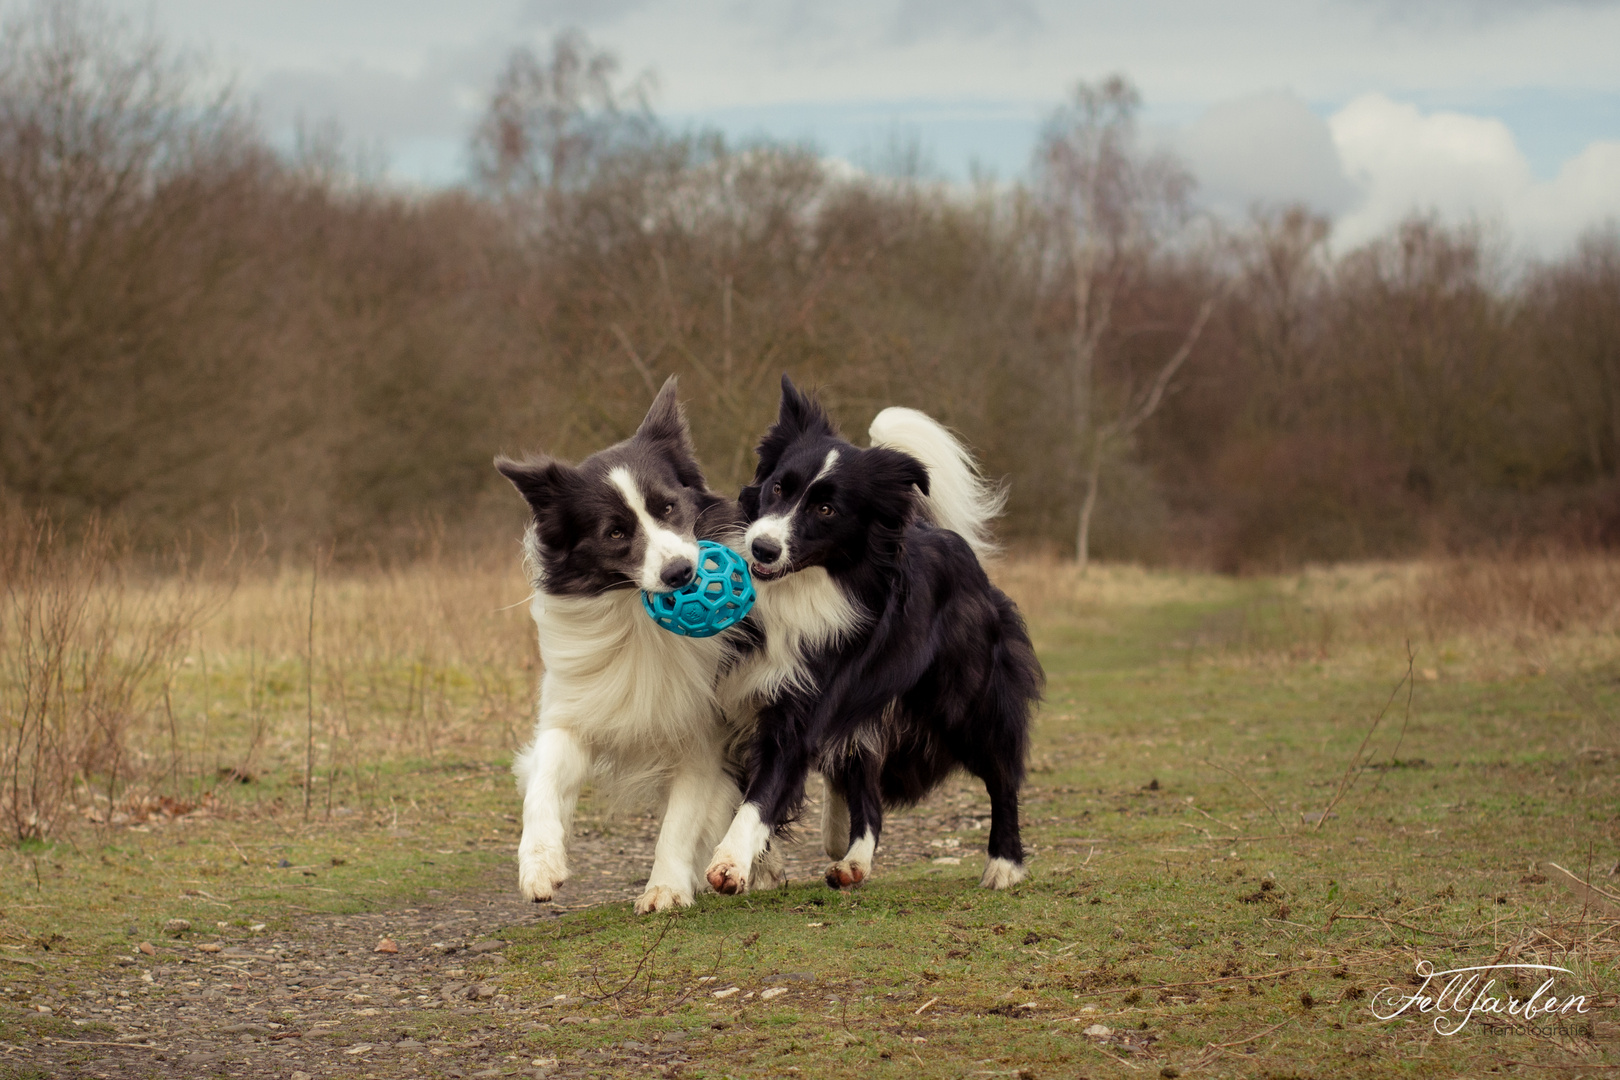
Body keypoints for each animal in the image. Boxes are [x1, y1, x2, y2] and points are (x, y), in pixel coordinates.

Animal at [498, 378, 784, 913]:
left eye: (668, 507)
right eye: (615, 532)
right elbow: (543, 783)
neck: (638, 620)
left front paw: (665, 889)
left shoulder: (704, 734)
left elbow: (682, 819)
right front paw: (539, 864)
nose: (681, 573)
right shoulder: (575, 709)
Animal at [706, 375, 1036, 900]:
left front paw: (732, 861)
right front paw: (766, 865)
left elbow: (763, 792)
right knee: (869, 798)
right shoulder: (732, 698)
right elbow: (745, 788)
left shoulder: (803, 705)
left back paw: (1004, 864)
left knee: (1001, 773)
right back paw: (852, 859)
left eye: (826, 508)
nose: (763, 547)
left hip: (963, 698)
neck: (798, 588)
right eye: (778, 486)